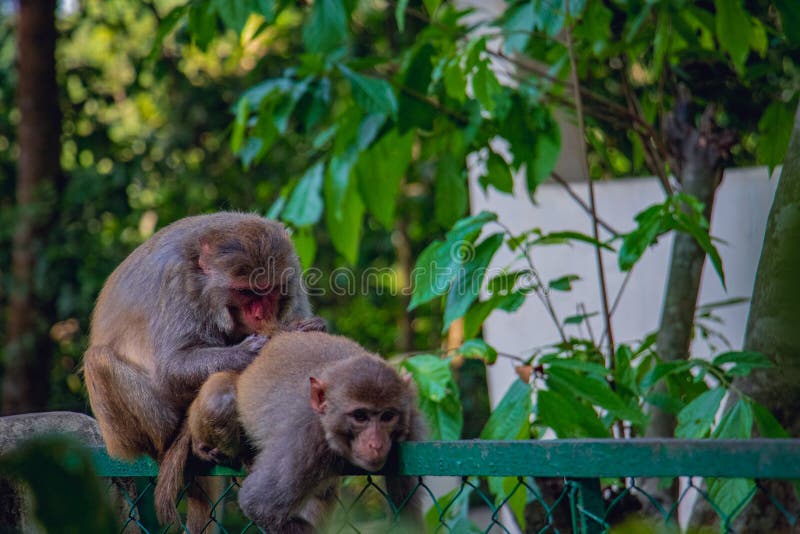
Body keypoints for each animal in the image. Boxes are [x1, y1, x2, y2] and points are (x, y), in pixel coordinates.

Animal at [82, 210, 318, 464]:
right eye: (245, 291)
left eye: (270, 289)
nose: (260, 314)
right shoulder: (177, 282)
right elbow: (171, 368)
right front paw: (249, 351)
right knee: (97, 359)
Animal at [163, 332, 428, 532]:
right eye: (360, 416)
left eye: (387, 416)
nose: (376, 444)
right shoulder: (305, 442)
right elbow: (258, 504)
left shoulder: (411, 423)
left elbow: (407, 513)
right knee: (221, 399)